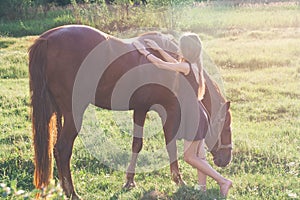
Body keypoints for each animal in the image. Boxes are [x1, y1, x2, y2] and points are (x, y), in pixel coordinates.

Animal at [28, 25, 232, 198]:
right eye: (226, 126)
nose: (225, 160)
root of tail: (47, 39)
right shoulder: (167, 110)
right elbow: (167, 144)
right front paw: (178, 179)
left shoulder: (143, 109)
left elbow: (137, 144)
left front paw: (129, 181)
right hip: (73, 114)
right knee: (63, 149)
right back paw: (72, 193)